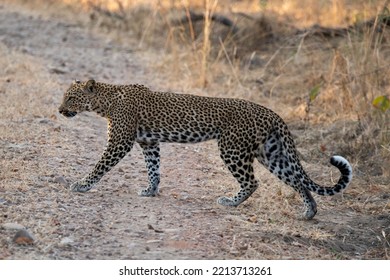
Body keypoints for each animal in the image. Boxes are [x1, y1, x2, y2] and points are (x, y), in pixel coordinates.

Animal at [58, 79, 354, 219]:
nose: (60, 110)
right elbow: (154, 169)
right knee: (297, 180)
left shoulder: (120, 142)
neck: (104, 102)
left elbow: (100, 166)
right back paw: (309, 212)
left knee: (252, 182)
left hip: (232, 148)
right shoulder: (149, 143)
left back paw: (230, 201)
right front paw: (151, 191)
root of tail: (271, 113)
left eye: (70, 98)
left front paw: (81, 185)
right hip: (271, 153)